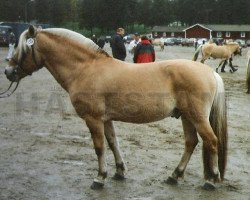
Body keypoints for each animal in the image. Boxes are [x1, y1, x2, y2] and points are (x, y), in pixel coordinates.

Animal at [2, 25, 228, 190]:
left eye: (23, 49)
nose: (8, 71)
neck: (86, 69)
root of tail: (209, 72)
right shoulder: (105, 119)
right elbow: (113, 143)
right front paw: (119, 171)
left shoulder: (93, 119)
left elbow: (99, 147)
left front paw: (99, 178)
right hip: (186, 117)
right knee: (191, 143)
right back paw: (174, 176)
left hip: (196, 117)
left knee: (211, 141)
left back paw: (211, 180)